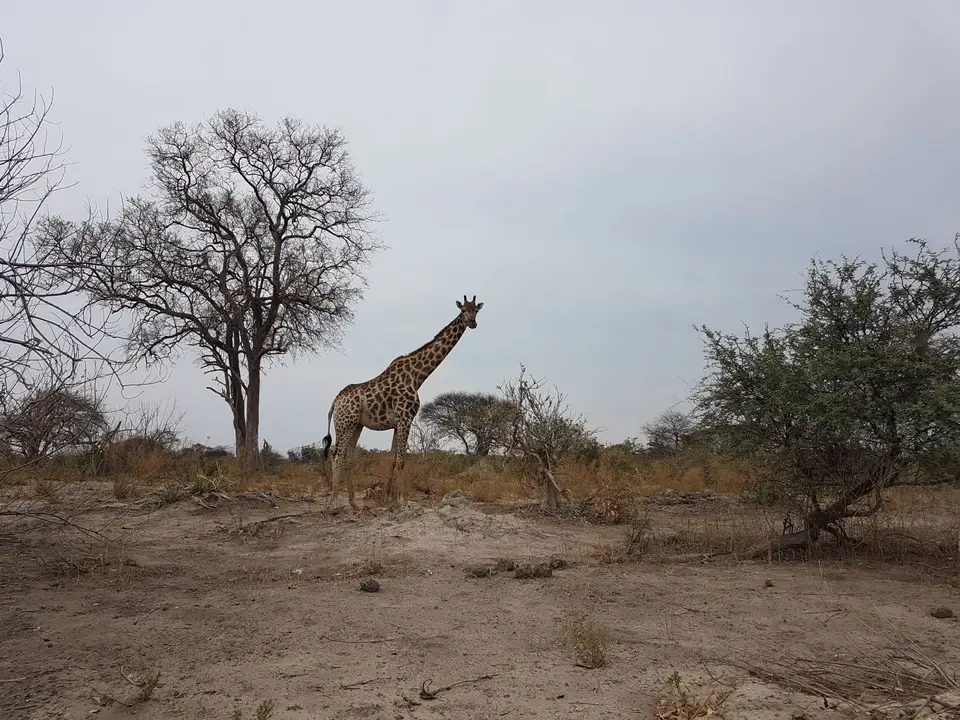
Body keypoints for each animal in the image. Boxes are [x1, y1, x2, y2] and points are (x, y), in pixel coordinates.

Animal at [321, 295, 484, 509]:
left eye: (477, 310)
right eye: (463, 310)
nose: (472, 323)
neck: (417, 376)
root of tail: (335, 401)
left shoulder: (397, 423)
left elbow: (392, 458)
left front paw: (387, 498)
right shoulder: (406, 418)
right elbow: (401, 459)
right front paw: (401, 500)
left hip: (356, 425)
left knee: (348, 457)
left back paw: (354, 503)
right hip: (344, 423)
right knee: (336, 455)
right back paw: (332, 504)